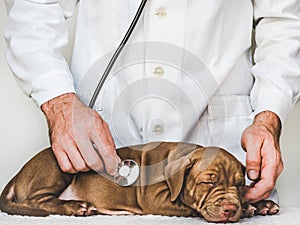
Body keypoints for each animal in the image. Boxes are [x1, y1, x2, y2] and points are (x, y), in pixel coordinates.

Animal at [0, 142, 278, 221]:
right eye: (208, 183)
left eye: (239, 184)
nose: (231, 209)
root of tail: (17, 175)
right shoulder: (156, 199)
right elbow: (188, 206)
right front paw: (249, 207)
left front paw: (259, 203)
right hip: (59, 164)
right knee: (37, 200)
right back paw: (76, 206)